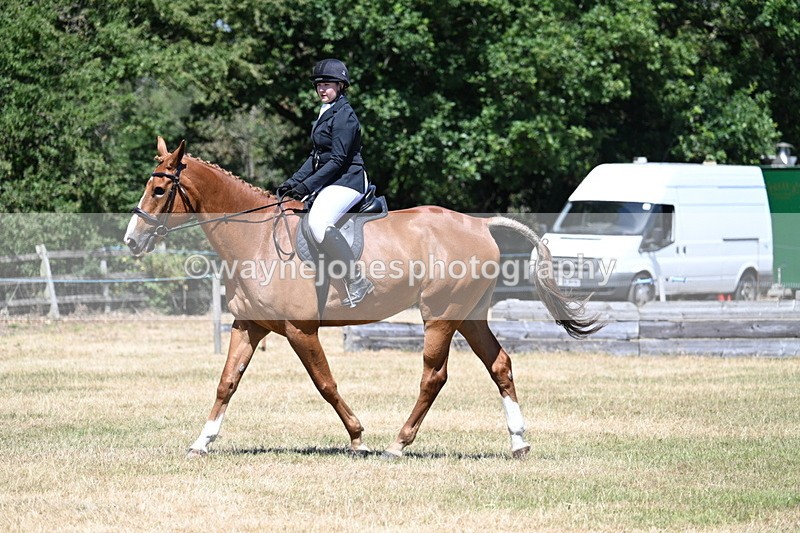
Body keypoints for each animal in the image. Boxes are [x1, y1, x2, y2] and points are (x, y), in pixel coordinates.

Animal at [124, 137, 602, 459]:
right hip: (470, 315)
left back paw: (398, 443)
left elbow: (325, 383)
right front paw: (201, 442)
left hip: (441, 316)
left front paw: (357, 437)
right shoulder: (250, 326)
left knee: (434, 377)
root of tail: (480, 224)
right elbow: (227, 382)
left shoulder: (300, 330)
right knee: (499, 364)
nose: (131, 240)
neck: (256, 240)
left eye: (160, 191)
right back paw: (518, 442)